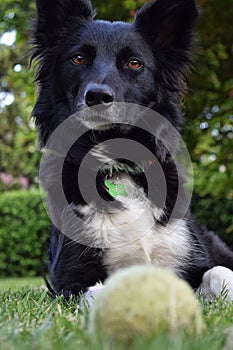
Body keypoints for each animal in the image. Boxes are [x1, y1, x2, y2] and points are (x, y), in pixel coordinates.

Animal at [31, 0, 233, 302]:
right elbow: (102, 292)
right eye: (77, 58)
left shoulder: (191, 259)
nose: (97, 96)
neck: (117, 164)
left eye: (134, 63)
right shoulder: (71, 280)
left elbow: (219, 272)